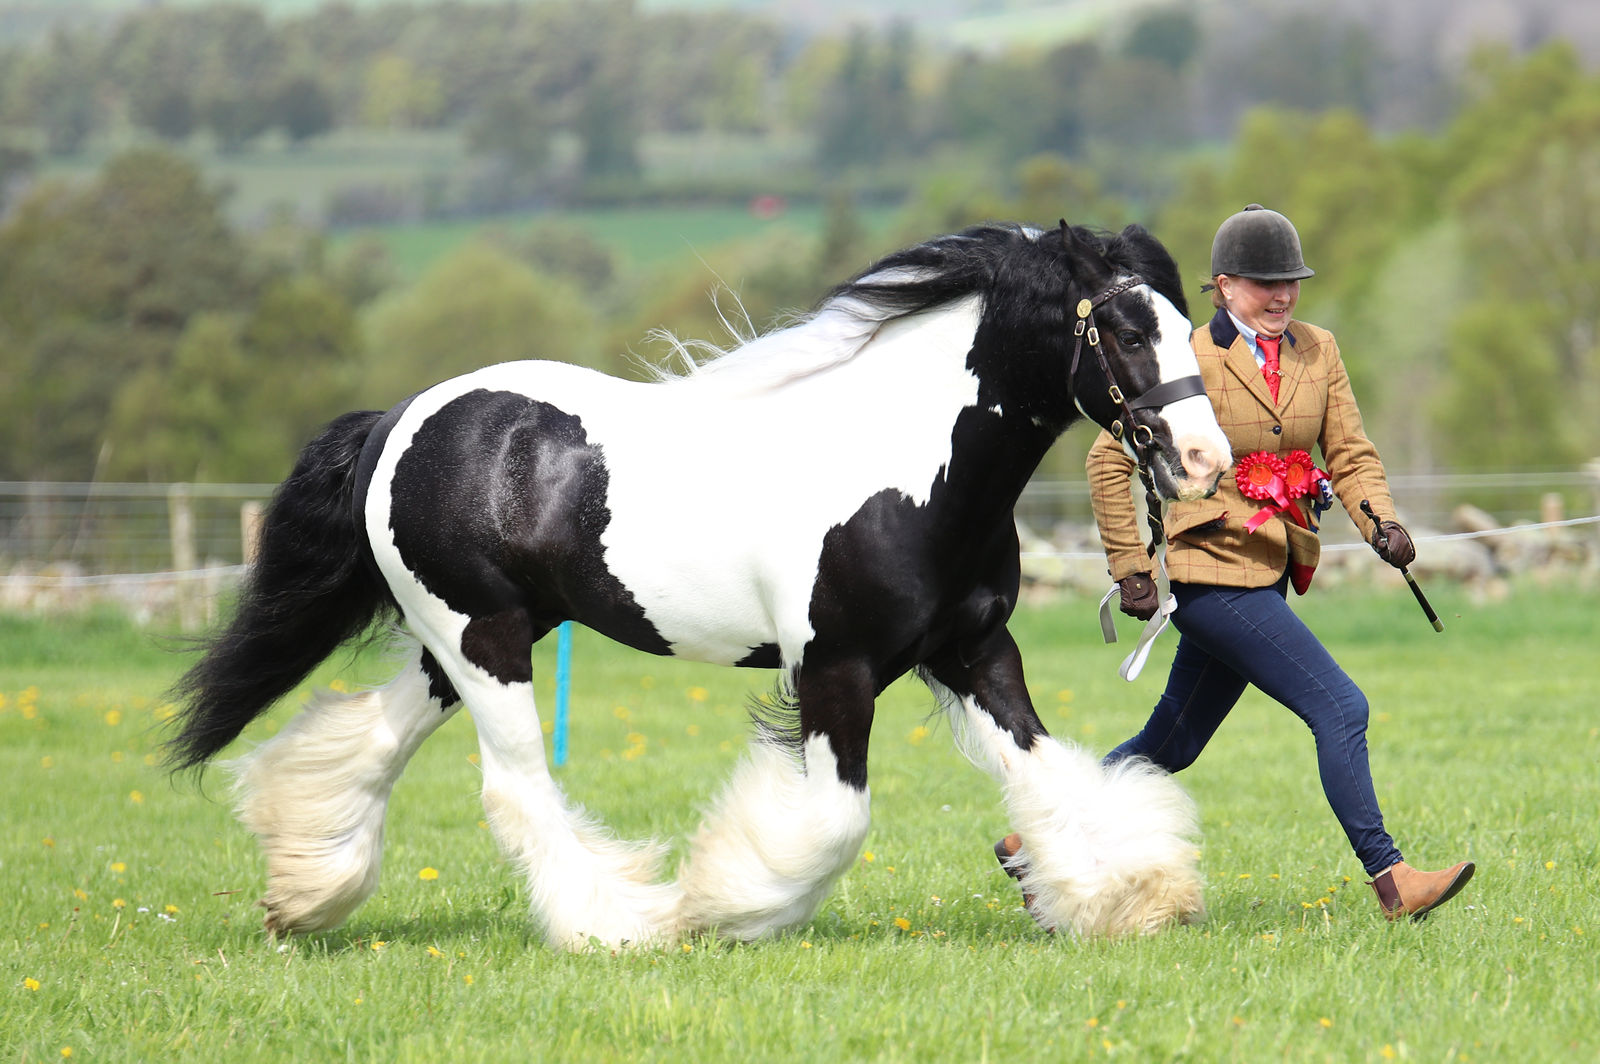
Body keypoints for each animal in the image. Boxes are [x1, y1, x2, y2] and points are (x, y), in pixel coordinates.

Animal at [165, 221, 1231, 949]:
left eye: (1185, 324)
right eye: (1126, 331)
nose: (1204, 461)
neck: (903, 470)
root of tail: (398, 421)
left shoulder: (974, 652)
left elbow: (1048, 774)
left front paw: (1127, 897)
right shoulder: (836, 669)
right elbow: (836, 821)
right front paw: (719, 908)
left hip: (468, 640)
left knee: (369, 741)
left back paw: (303, 896)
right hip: (483, 639)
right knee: (514, 788)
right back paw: (616, 924)